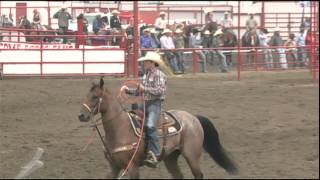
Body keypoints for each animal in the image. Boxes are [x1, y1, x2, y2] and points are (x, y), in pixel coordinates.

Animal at [77, 77, 238, 179]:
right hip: (171, 157)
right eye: (87, 94)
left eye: (95, 97)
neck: (119, 129)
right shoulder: (114, 167)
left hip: (192, 156)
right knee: (179, 176)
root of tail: (193, 117)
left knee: (198, 175)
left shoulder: (132, 167)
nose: (81, 115)